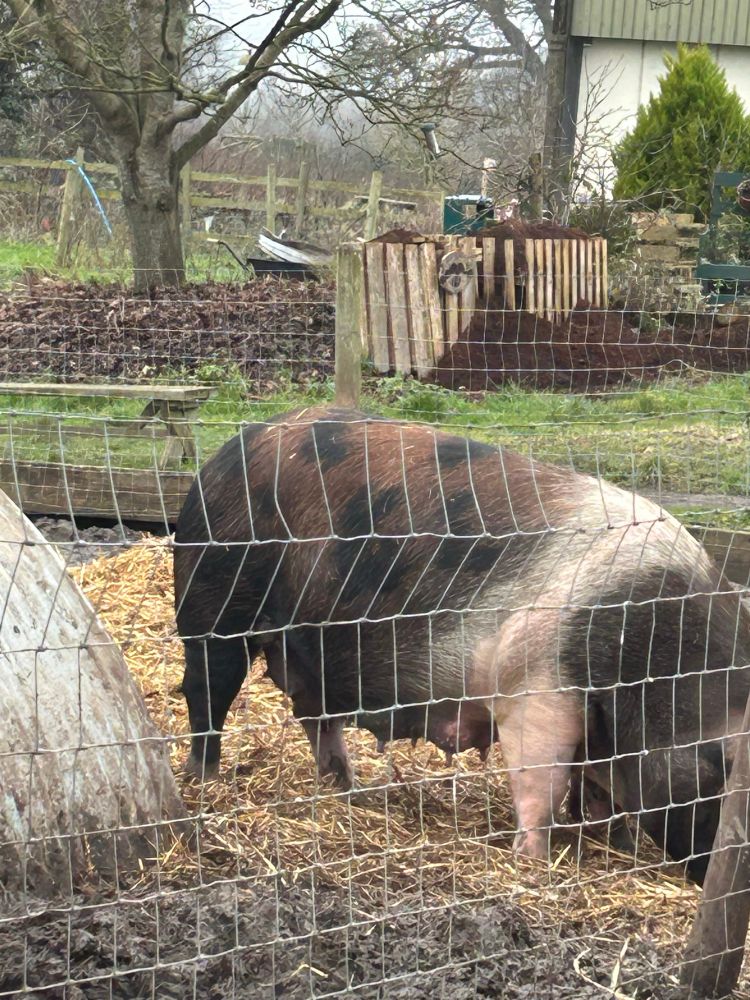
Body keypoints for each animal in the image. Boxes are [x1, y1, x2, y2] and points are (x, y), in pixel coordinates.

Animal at [173, 406, 750, 883]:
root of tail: (226, 453)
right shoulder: (535, 683)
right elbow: (543, 782)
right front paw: (532, 863)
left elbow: (596, 790)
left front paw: (615, 842)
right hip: (211, 602)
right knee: (207, 691)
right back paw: (204, 780)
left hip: (309, 648)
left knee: (315, 714)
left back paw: (346, 788)